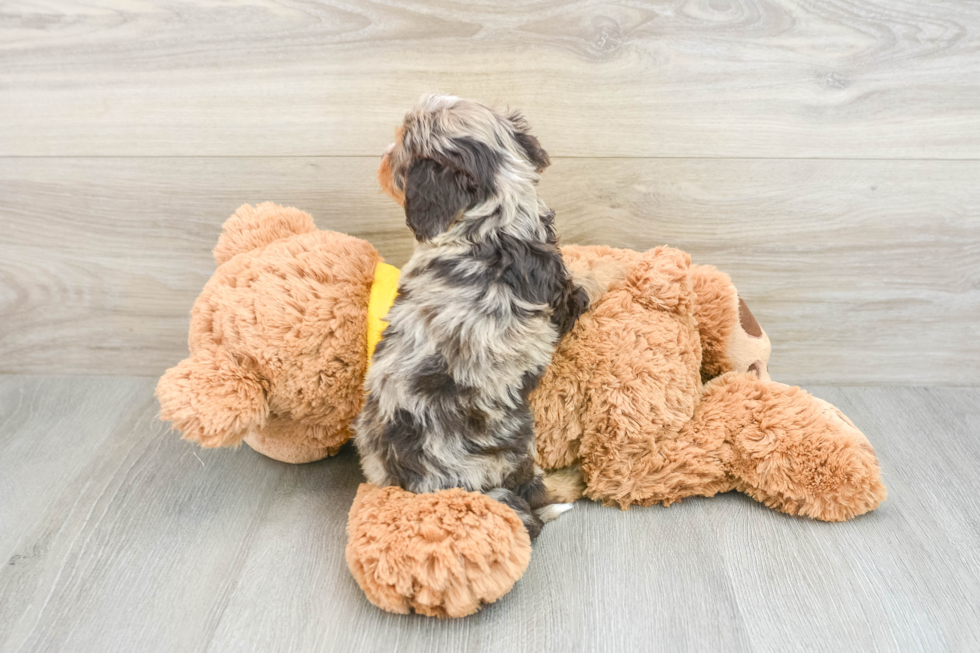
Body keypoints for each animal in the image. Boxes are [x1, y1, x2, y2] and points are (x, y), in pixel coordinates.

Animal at [358, 94, 592, 536]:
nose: (380, 159)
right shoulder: (563, 297)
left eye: (399, 147)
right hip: (514, 441)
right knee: (534, 490)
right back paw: (568, 481)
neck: (495, 216)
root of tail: (421, 485)